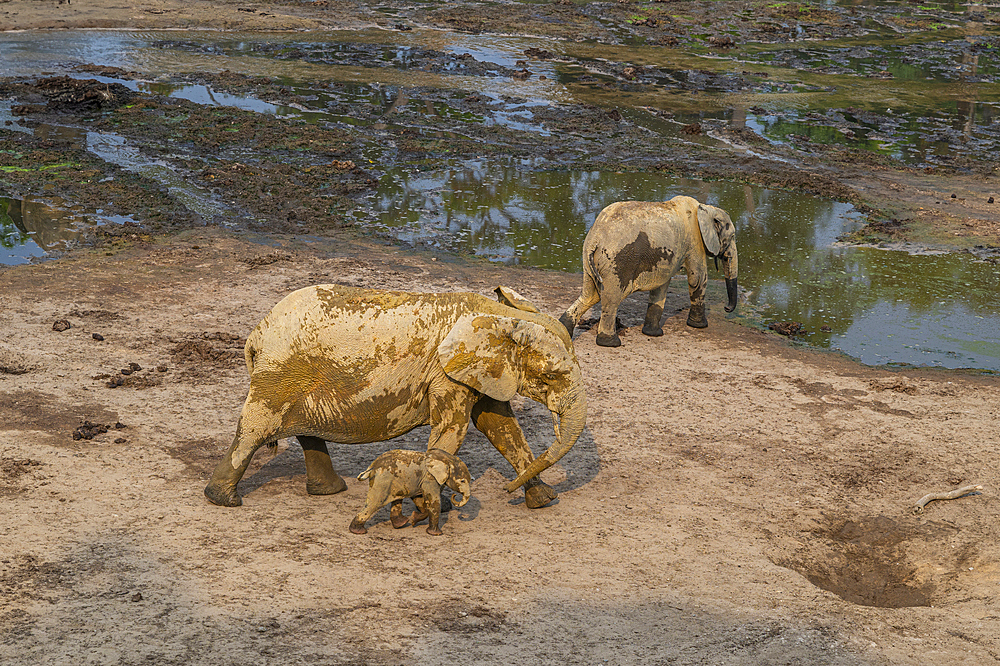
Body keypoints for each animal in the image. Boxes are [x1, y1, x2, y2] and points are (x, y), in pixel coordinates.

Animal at [203, 282, 584, 506]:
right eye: (551, 376)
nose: (506, 492)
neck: (503, 315)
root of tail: (256, 334)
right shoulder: (446, 372)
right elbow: (453, 430)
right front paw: (434, 503)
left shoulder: (482, 371)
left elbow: (500, 426)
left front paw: (543, 499)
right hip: (280, 373)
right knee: (256, 428)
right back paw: (223, 500)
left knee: (303, 430)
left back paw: (330, 491)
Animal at [560, 193, 740, 344]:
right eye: (732, 237)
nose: (726, 308)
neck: (705, 209)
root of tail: (596, 237)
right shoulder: (694, 242)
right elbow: (698, 278)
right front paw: (699, 326)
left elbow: (661, 286)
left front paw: (653, 334)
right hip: (617, 262)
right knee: (611, 298)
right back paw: (611, 343)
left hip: (590, 259)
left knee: (590, 295)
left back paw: (564, 329)